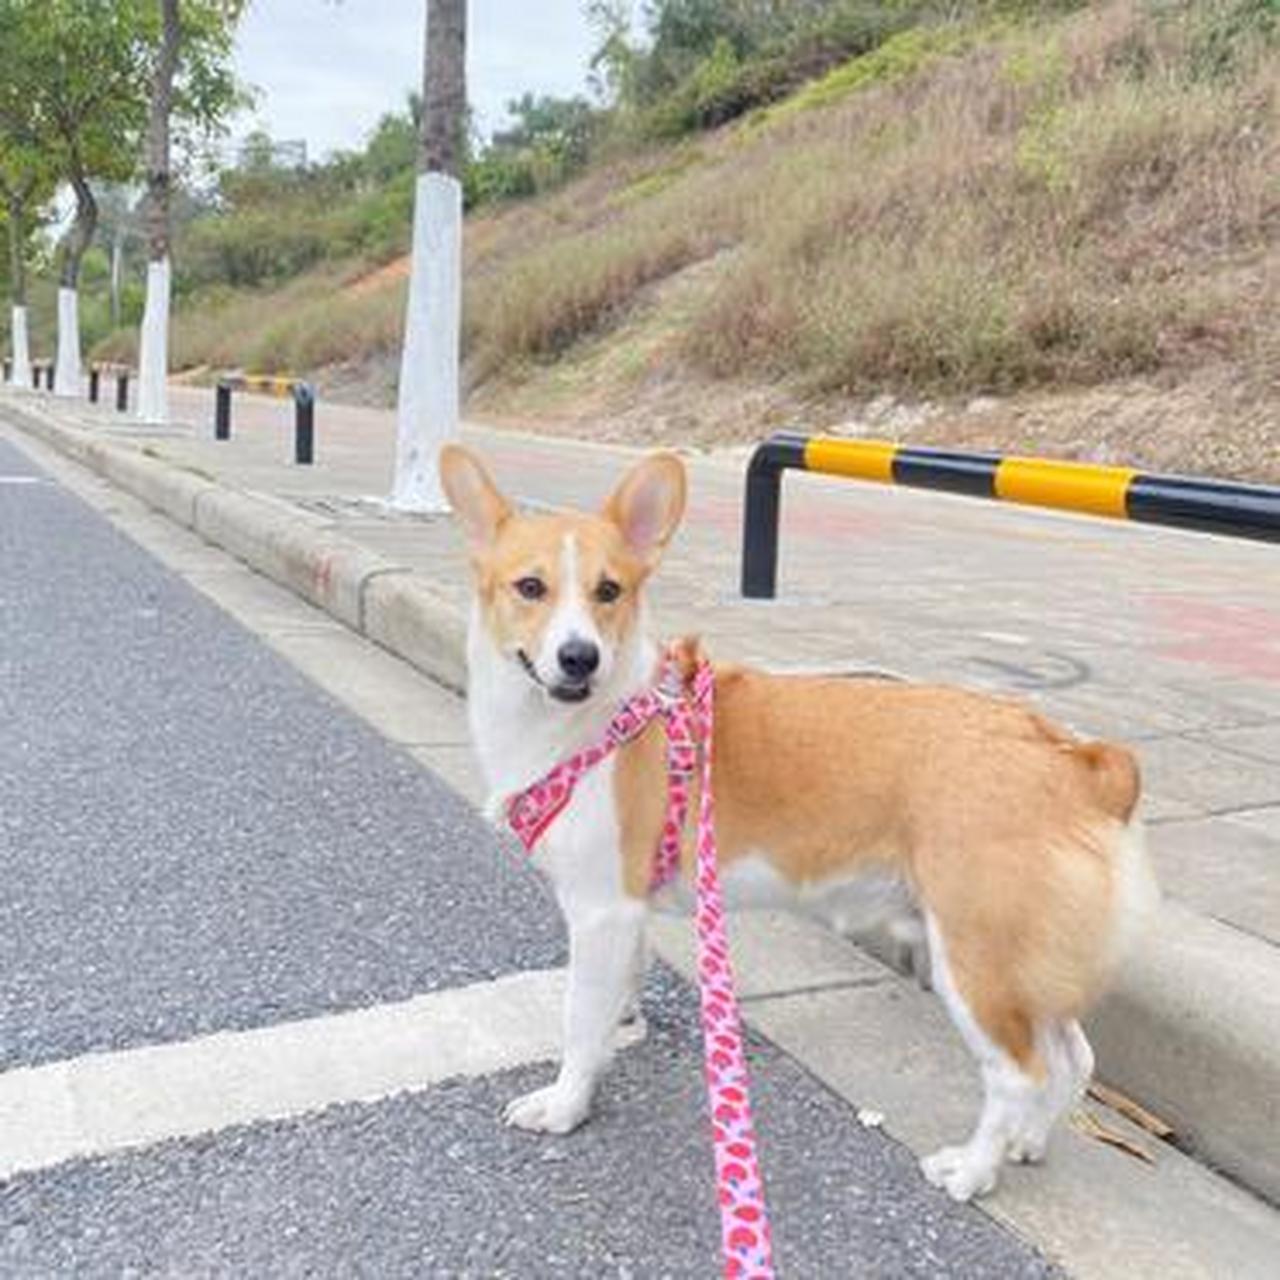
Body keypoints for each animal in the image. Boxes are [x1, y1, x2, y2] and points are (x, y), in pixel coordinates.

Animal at [442, 445, 1162, 1203]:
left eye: (609, 591)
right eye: (530, 587)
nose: (580, 657)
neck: (597, 714)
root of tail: (1079, 759)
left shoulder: (601, 911)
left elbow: (579, 1026)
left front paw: (565, 1103)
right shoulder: (623, 915)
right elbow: (615, 995)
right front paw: (621, 1029)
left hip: (973, 960)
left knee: (1019, 1074)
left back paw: (972, 1170)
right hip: (1022, 963)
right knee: (1074, 1059)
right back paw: (1029, 1142)